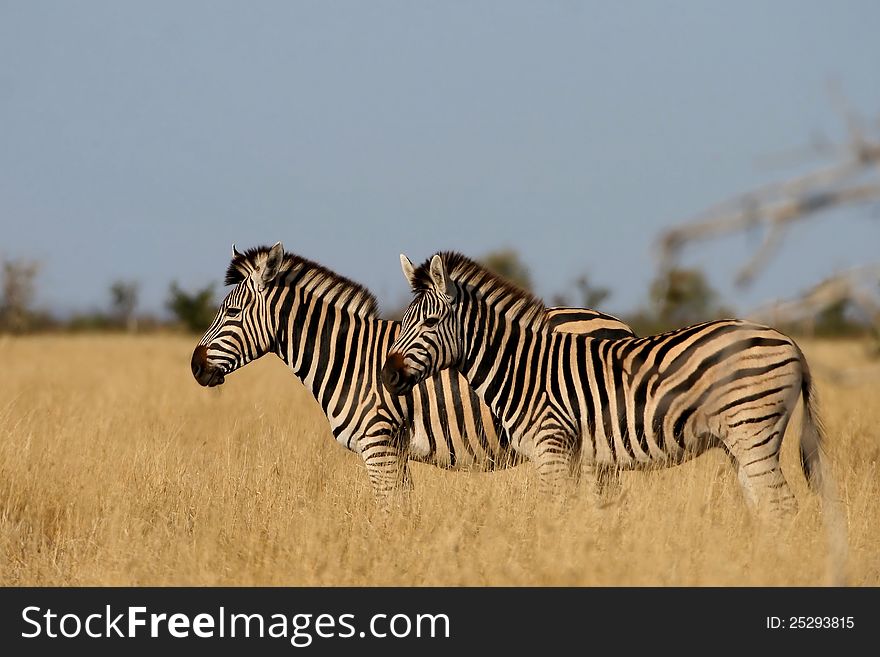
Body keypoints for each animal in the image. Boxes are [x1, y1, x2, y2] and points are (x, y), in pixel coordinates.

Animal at [191, 243, 632, 500]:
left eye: (232, 312)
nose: (195, 366)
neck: (348, 358)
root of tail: (619, 325)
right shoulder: (395, 452)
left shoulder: (380, 445)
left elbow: (387, 515)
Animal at [382, 251, 844, 524]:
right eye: (403, 322)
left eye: (429, 322)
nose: (386, 377)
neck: (521, 367)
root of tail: (791, 343)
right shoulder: (571, 456)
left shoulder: (552, 447)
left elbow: (556, 514)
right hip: (740, 442)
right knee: (766, 505)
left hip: (754, 430)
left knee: (782, 506)